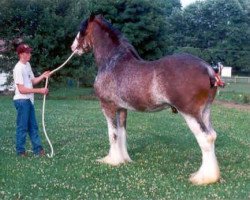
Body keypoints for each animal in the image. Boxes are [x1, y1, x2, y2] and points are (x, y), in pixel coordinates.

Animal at [71, 14, 221, 185]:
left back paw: (203, 178)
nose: (72, 47)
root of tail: (208, 69)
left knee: (205, 138)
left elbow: (113, 134)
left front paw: (111, 160)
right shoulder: (122, 108)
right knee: (212, 135)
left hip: (190, 114)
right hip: (205, 112)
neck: (113, 61)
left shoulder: (107, 106)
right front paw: (123, 159)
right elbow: (122, 133)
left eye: (82, 29)